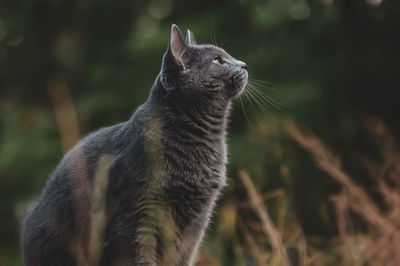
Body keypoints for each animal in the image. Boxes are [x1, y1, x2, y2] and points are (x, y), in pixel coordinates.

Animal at [21, 23, 248, 264]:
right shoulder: (139, 215)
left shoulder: (196, 224)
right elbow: (141, 256)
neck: (203, 139)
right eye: (218, 60)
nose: (243, 64)